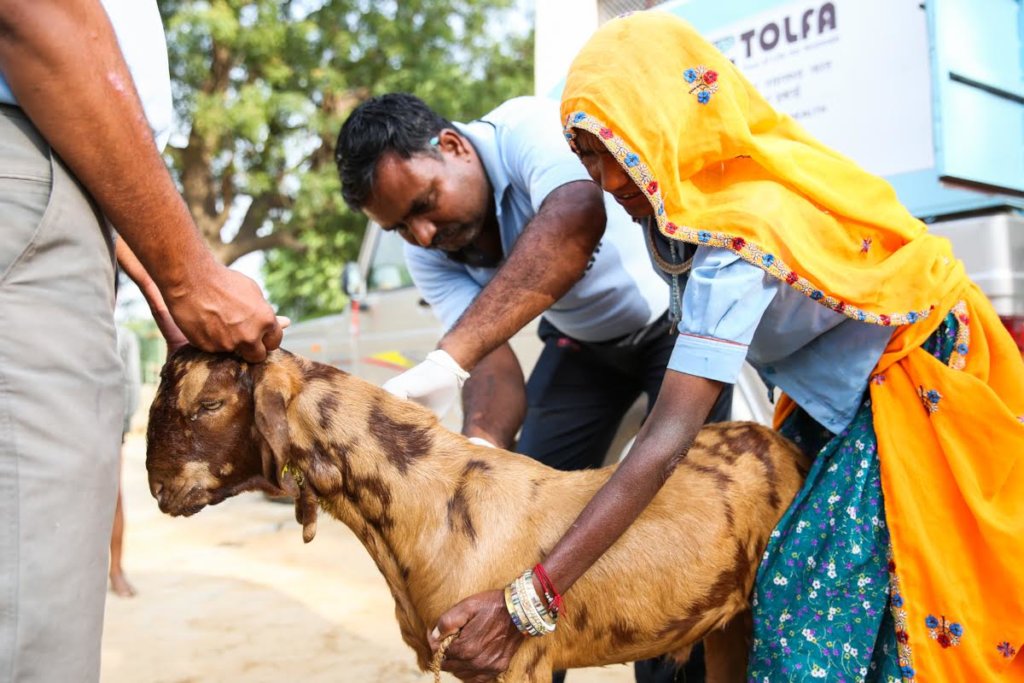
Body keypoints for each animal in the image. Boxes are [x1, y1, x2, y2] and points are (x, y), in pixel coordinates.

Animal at [144, 350, 806, 679]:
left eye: (209, 404)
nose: (157, 486)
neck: (430, 504)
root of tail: (785, 444)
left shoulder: (519, 667)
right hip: (728, 629)